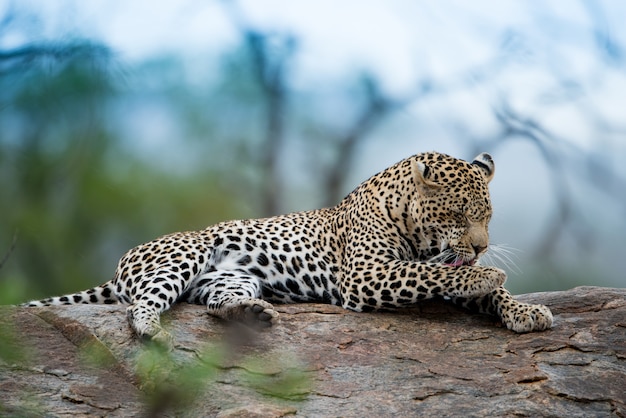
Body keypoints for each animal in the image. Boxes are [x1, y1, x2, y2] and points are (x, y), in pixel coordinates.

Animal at [23, 150, 552, 346]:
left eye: (488, 217)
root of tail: (122, 264)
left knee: (215, 304)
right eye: (460, 215)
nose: (482, 249)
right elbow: (436, 274)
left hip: (228, 279)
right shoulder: (365, 275)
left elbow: (463, 282)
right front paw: (486, 275)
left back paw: (253, 315)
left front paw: (526, 311)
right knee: (142, 304)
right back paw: (152, 330)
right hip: (182, 255)